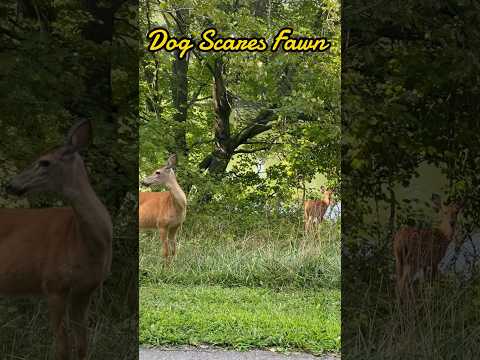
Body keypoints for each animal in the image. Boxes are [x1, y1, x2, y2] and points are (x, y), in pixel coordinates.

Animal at [0, 120, 112, 360]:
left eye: (45, 162)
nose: (10, 185)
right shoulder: (53, 285)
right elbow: (62, 346)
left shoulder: (85, 290)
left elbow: (82, 345)